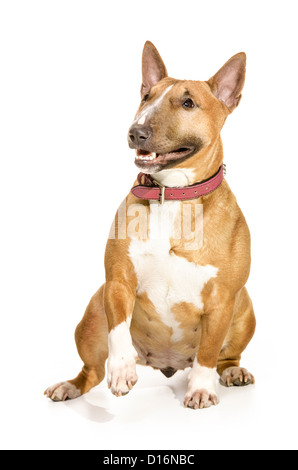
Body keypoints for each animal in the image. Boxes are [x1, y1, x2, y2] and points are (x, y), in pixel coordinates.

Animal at [44, 41, 256, 408]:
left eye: (188, 103)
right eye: (146, 97)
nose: (136, 132)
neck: (171, 196)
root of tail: (169, 364)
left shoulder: (223, 299)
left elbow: (208, 351)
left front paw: (201, 389)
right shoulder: (117, 282)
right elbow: (118, 333)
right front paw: (121, 370)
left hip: (245, 309)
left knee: (226, 355)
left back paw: (232, 372)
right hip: (91, 316)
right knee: (91, 371)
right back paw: (70, 386)